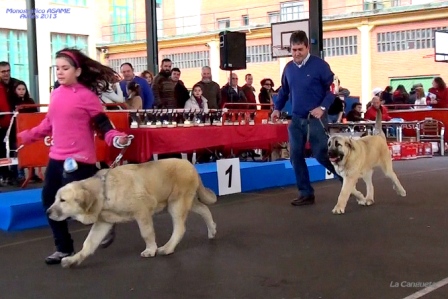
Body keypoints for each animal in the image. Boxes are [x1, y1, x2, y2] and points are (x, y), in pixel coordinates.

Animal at [46, 159, 218, 270]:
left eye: (62, 200)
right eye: (55, 199)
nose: (47, 212)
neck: (103, 192)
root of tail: (191, 166)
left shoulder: (142, 211)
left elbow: (146, 233)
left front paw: (150, 249)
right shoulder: (102, 222)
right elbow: (89, 243)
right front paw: (74, 260)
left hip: (177, 203)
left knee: (180, 227)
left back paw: (168, 247)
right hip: (184, 201)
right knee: (204, 209)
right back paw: (212, 230)